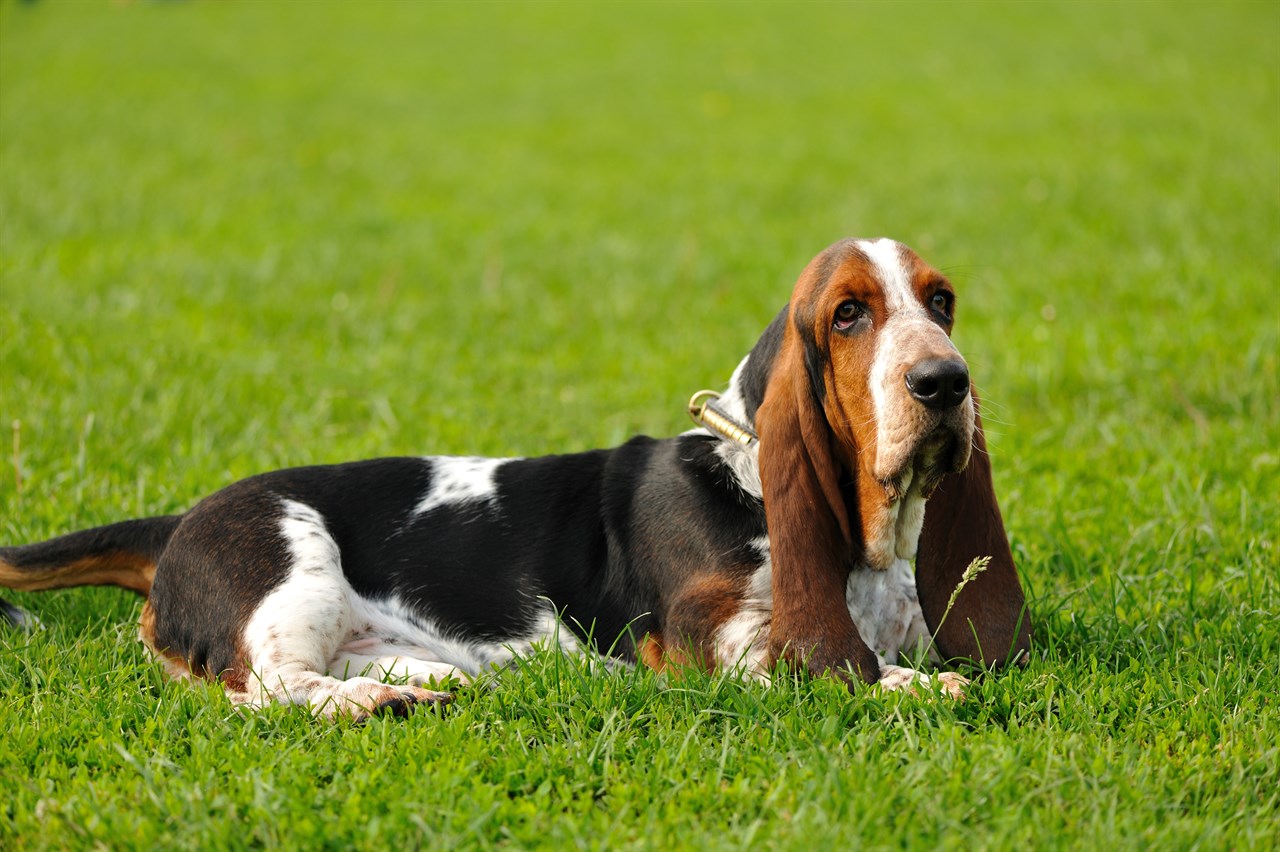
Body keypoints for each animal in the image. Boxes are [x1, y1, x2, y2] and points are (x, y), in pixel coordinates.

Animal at [0, 236, 1034, 716]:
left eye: (942, 301)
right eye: (848, 314)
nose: (945, 382)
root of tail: (177, 522)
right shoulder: (717, 644)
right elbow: (831, 663)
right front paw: (912, 687)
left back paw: (429, 682)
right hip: (295, 567)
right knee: (263, 686)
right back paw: (374, 703)